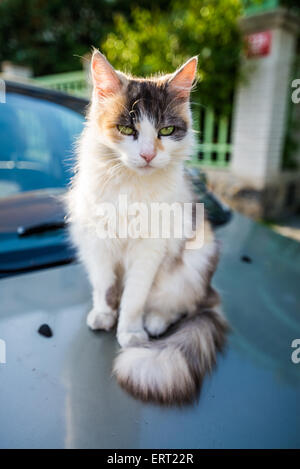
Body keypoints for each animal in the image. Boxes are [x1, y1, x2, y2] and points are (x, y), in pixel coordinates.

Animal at [67, 49, 227, 404]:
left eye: (166, 131)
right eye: (126, 129)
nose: (148, 155)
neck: (130, 187)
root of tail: (211, 292)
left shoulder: (148, 250)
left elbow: (134, 298)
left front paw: (129, 332)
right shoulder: (98, 242)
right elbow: (105, 287)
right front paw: (104, 315)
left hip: (196, 260)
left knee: (181, 306)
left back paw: (153, 323)